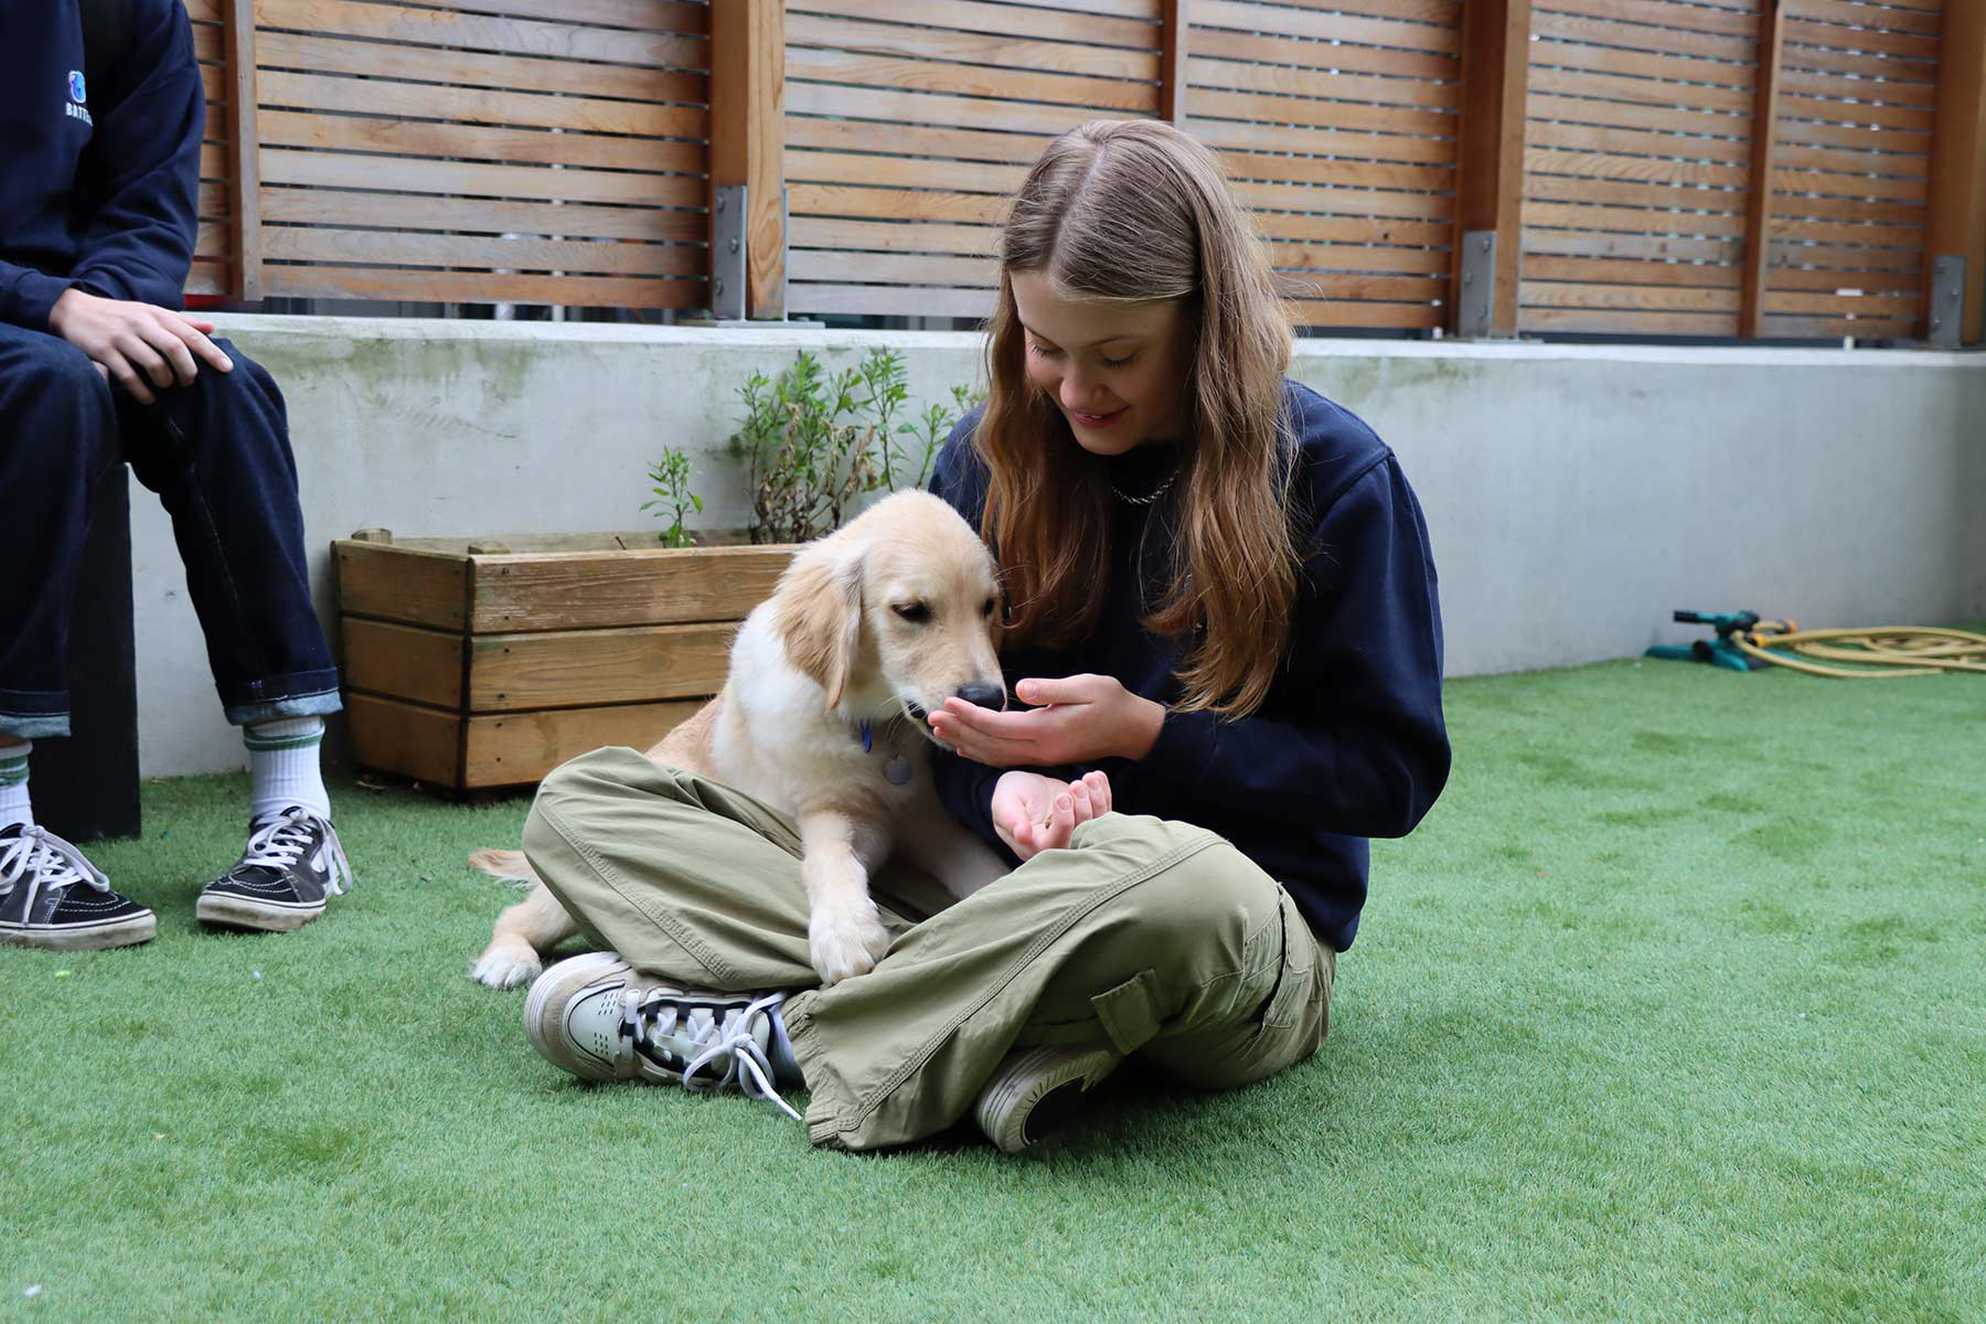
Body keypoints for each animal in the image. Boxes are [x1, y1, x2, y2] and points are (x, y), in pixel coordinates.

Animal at [468, 492, 1008, 988]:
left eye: (988, 607)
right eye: (912, 611)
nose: (989, 699)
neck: (871, 728)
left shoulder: (927, 820)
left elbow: (987, 871)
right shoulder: (823, 809)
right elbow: (829, 857)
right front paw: (845, 931)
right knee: (523, 914)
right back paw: (507, 958)